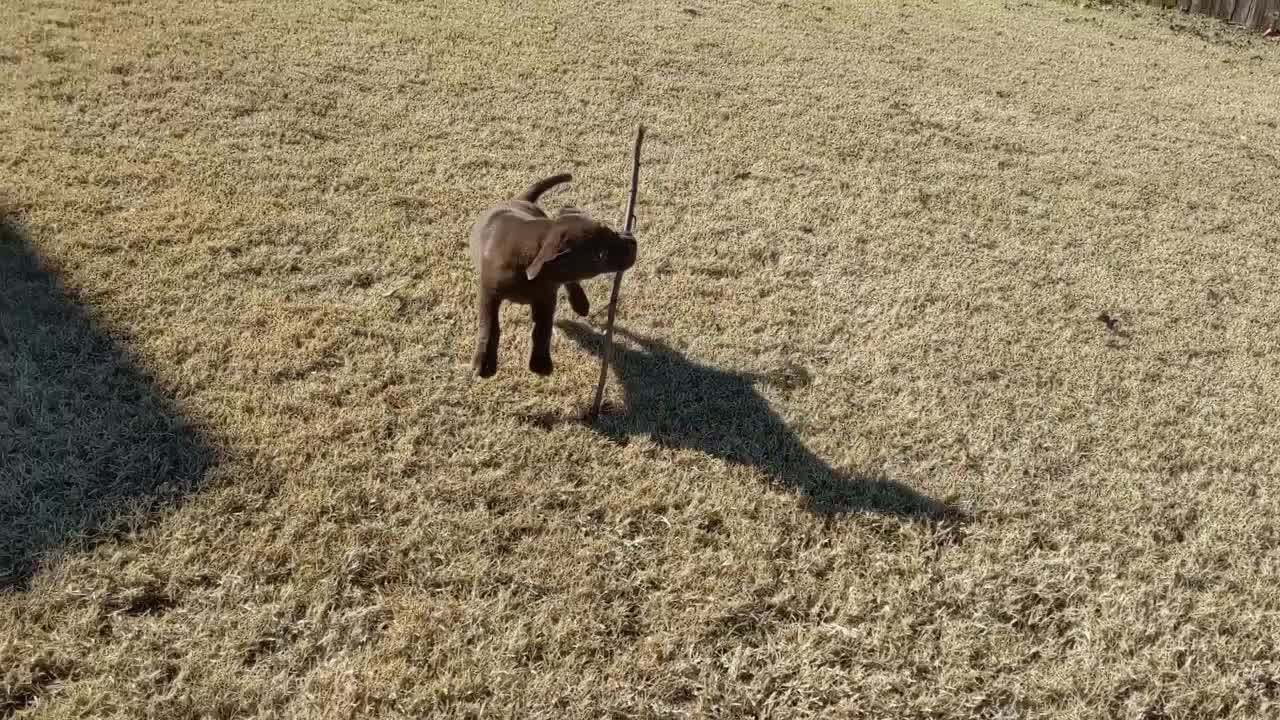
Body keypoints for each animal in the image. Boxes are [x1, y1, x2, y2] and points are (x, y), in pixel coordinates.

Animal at [471, 172, 634, 376]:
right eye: (600, 255)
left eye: (609, 230)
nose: (633, 242)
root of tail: (520, 199)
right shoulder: (489, 291)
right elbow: (489, 324)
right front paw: (484, 360)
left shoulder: (546, 297)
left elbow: (543, 328)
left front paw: (539, 363)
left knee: (570, 281)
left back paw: (580, 302)